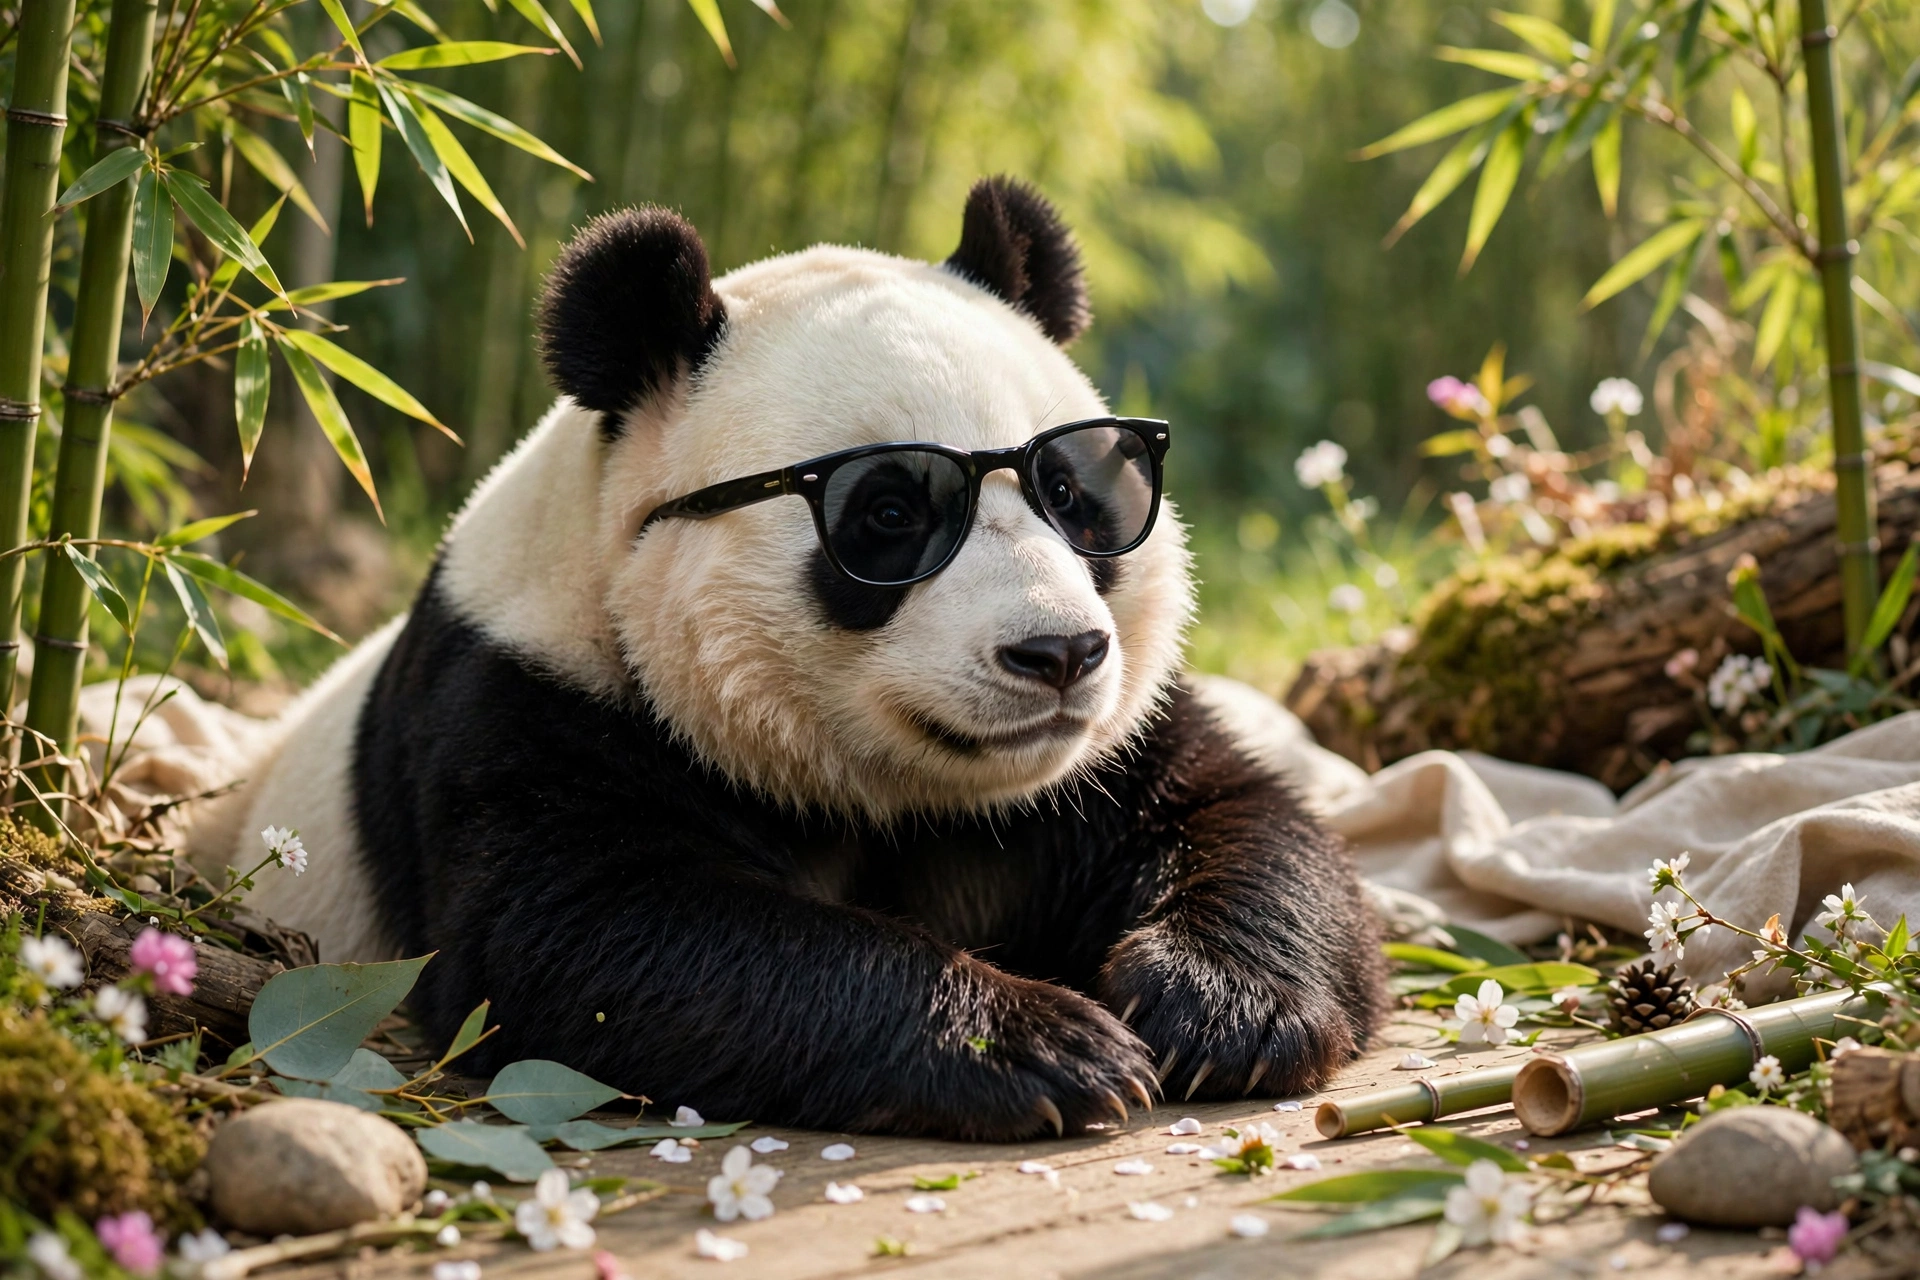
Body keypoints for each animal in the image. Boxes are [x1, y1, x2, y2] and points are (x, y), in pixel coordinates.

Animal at [190, 176, 1385, 1141]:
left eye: (1076, 491)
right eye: (890, 514)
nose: (1059, 653)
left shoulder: (1093, 764)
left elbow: (1239, 816)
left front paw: (1217, 1006)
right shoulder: (529, 701)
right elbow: (587, 935)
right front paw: (1044, 1045)